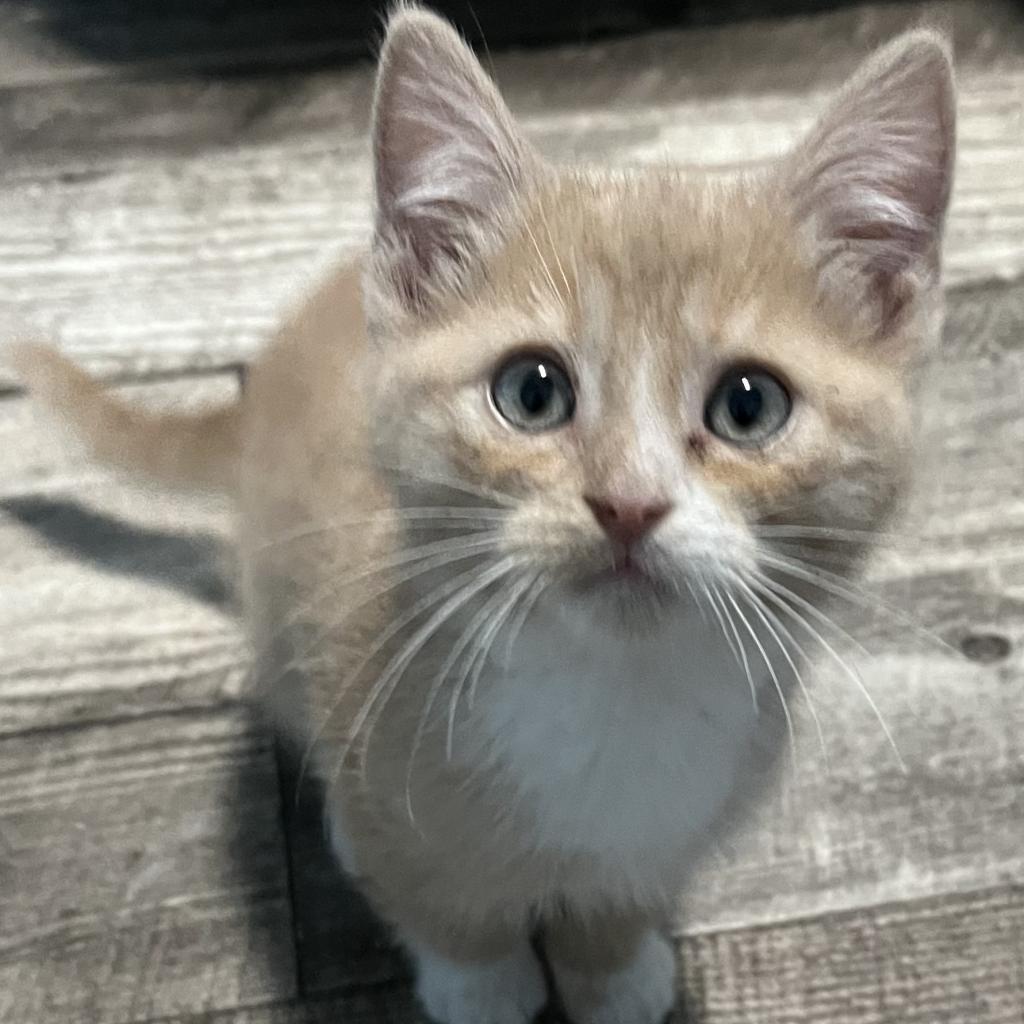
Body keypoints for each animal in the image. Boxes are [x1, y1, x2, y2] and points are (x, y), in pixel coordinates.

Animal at [9, 9, 950, 1024]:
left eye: (749, 406)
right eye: (532, 393)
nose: (628, 503)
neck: (614, 691)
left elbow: (618, 900)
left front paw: (616, 972)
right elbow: (440, 896)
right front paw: (483, 983)